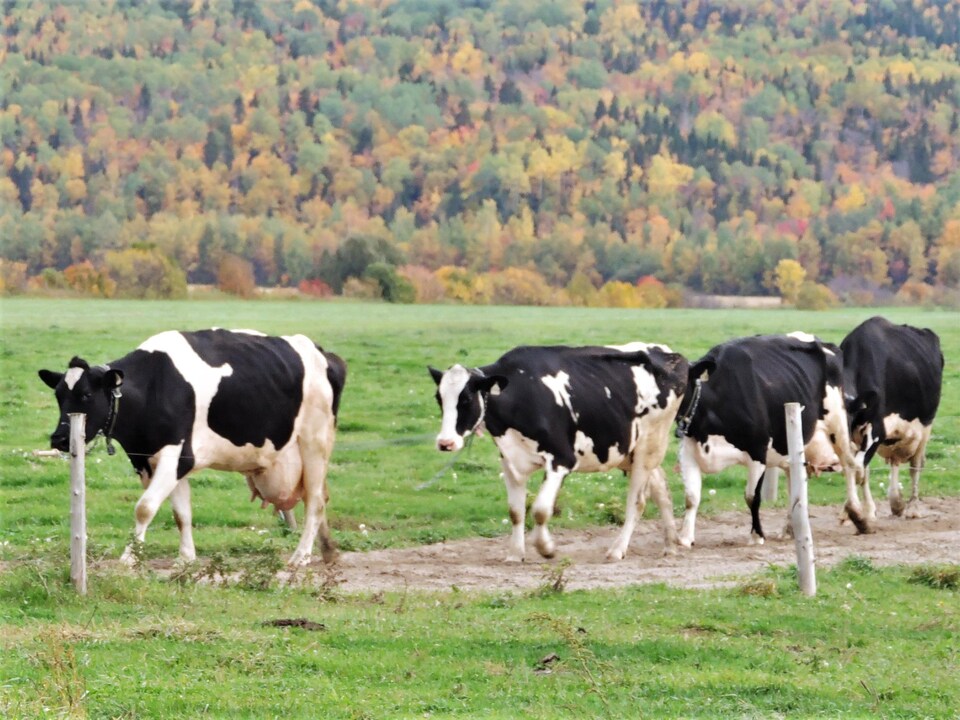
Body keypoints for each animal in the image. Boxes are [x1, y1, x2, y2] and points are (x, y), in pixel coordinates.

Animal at [38, 328, 344, 568]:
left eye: (86, 395)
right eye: (58, 395)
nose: (59, 439)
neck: (153, 387)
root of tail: (322, 353)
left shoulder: (176, 455)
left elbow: (145, 507)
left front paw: (130, 556)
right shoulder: (150, 460)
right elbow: (181, 513)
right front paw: (186, 557)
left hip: (314, 442)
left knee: (316, 501)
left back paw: (301, 555)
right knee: (321, 497)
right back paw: (328, 551)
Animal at [430, 344, 688, 564]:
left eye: (466, 399)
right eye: (439, 398)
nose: (445, 442)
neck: (522, 392)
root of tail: (668, 355)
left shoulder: (562, 460)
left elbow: (541, 510)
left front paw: (546, 548)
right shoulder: (511, 462)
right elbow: (515, 512)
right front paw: (515, 554)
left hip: (650, 445)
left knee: (637, 501)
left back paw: (617, 549)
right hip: (630, 452)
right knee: (661, 488)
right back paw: (671, 545)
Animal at [672, 332, 868, 544]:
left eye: (680, 382)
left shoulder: (758, 451)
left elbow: (752, 496)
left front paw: (756, 535)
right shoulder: (689, 451)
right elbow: (691, 497)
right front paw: (684, 537)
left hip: (838, 426)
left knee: (849, 465)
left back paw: (857, 515)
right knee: (796, 479)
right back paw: (791, 527)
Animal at [840, 318, 944, 520]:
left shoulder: (876, 430)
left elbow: (859, 468)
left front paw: (856, 511)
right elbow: (857, 470)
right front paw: (863, 510)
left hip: (925, 426)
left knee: (916, 466)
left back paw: (913, 507)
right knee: (895, 461)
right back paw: (896, 502)